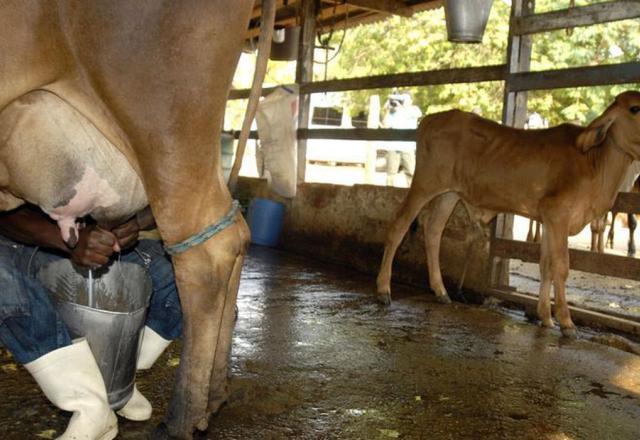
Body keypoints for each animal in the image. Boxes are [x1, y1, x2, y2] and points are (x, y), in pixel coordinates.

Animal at [376, 93, 640, 338]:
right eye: (635, 108)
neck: (595, 162)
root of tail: (431, 119)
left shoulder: (548, 220)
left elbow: (545, 264)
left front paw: (545, 317)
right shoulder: (558, 215)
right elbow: (561, 266)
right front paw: (566, 322)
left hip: (449, 194)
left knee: (433, 230)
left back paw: (441, 291)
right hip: (425, 183)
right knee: (399, 226)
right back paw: (383, 290)